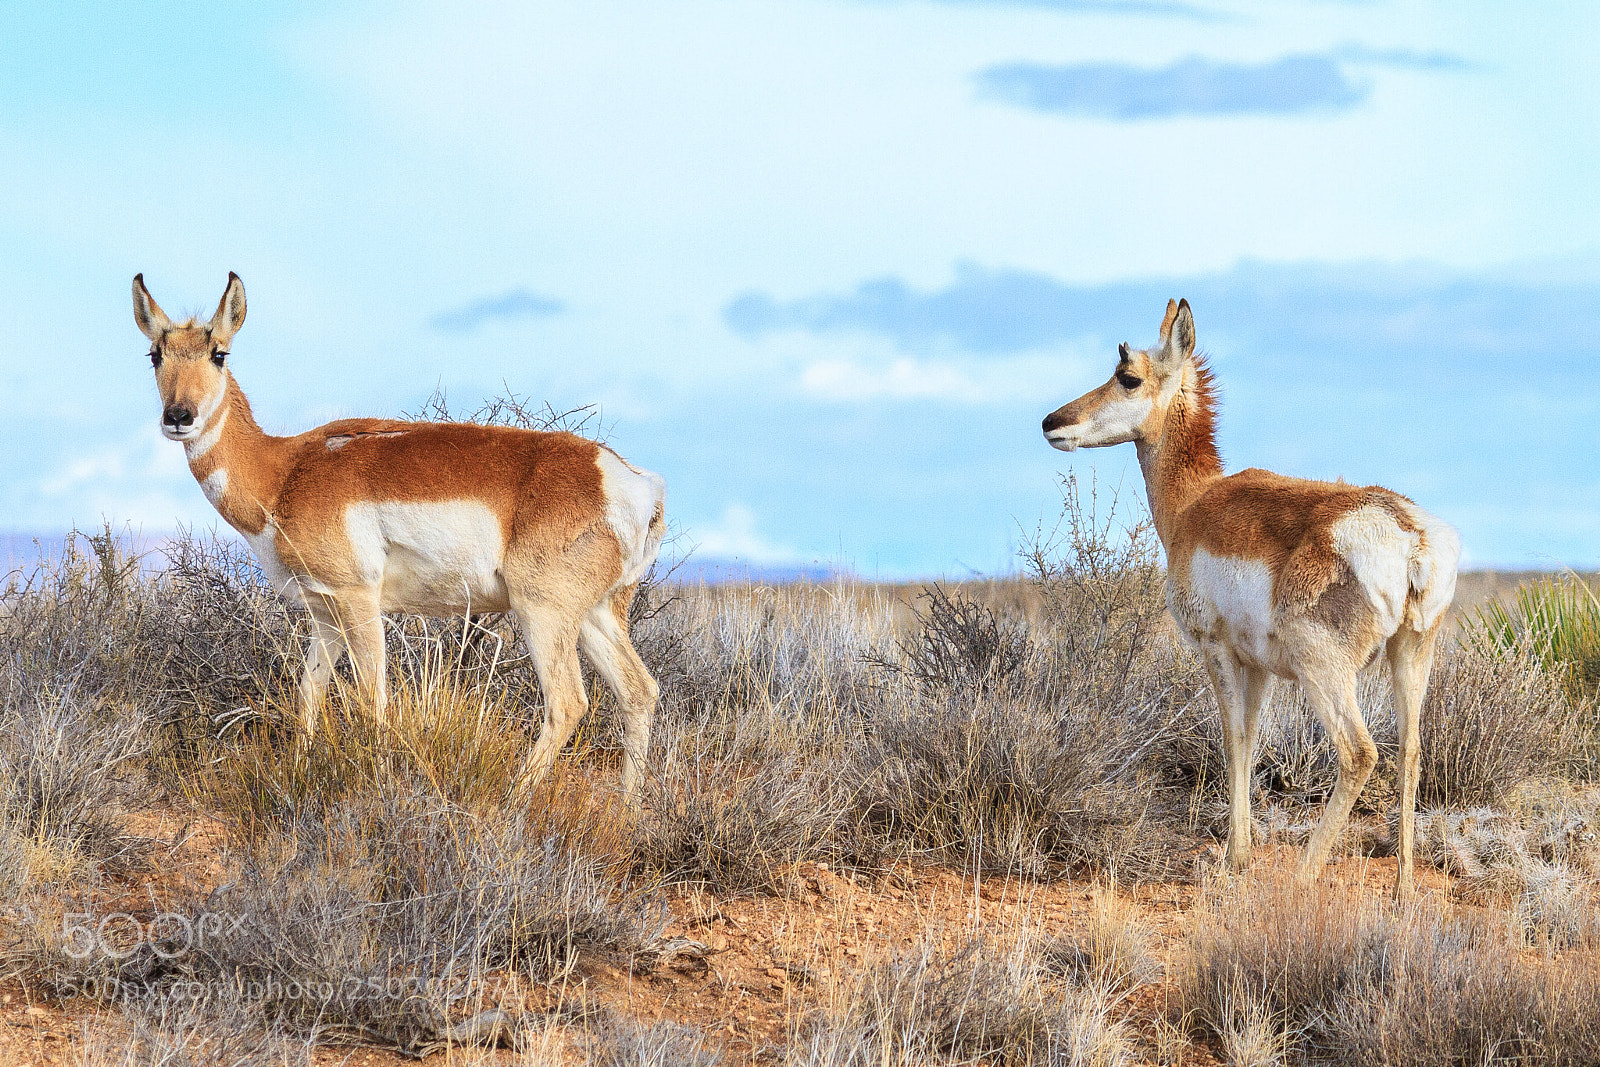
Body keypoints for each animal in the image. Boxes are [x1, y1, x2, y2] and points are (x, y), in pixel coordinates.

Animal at [134, 273, 666, 798]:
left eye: (219, 353)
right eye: (155, 353)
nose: (178, 416)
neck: (285, 470)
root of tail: (630, 482)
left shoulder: (358, 600)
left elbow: (373, 700)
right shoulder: (325, 614)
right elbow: (308, 694)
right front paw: (299, 771)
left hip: (543, 613)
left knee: (567, 703)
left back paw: (515, 798)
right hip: (596, 615)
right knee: (638, 692)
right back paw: (627, 807)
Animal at [1041, 300, 1459, 899]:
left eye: (1128, 375)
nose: (1051, 422)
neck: (1194, 503)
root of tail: (1409, 533)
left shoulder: (1216, 651)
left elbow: (1233, 737)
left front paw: (1235, 859)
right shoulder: (1259, 668)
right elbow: (1254, 736)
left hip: (1323, 671)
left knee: (1360, 752)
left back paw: (1304, 873)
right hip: (1411, 656)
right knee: (1410, 749)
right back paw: (1403, 889)